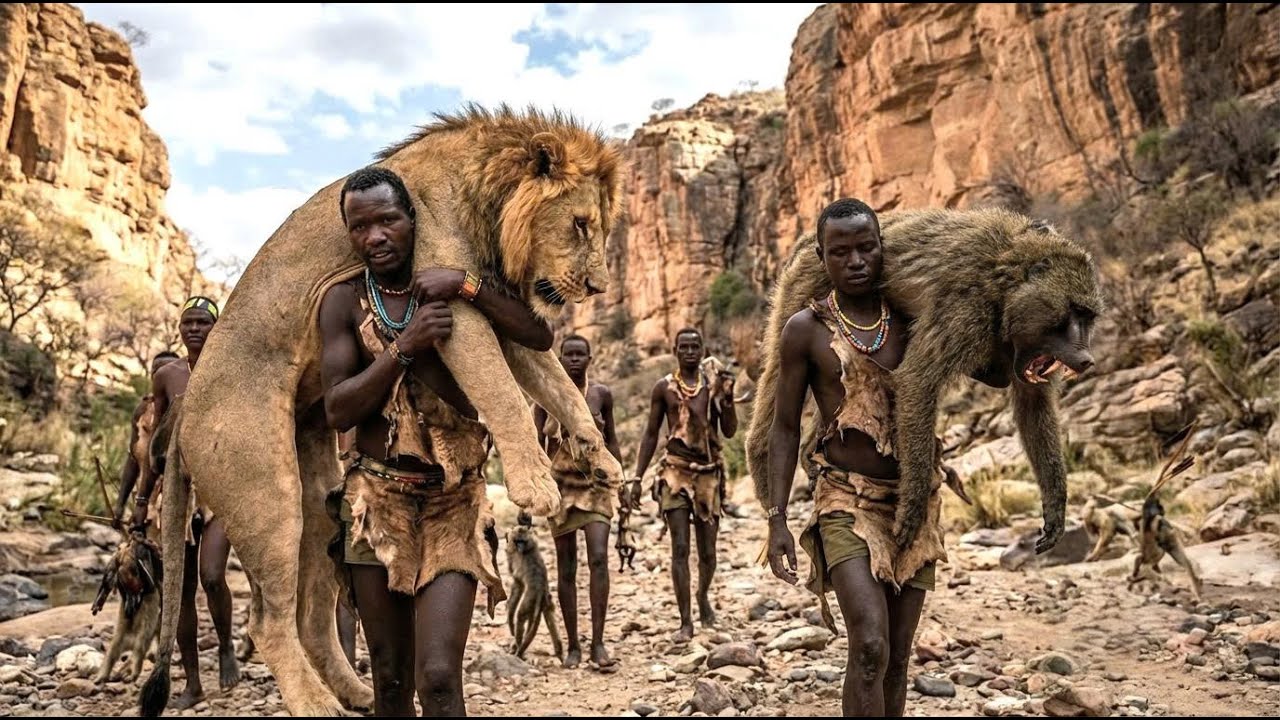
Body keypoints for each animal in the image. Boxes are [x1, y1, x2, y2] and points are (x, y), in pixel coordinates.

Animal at [140, 106, 626, 716]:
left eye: (599, 227)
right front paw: (537, 487)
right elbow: (506, 395)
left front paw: (602, 460)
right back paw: (317, 704)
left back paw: (353, 691)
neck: (483, 191)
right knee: (269, 620)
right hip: (266, 495)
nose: (597, 286)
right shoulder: (454, 303)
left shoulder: (498, 306)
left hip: (320, 502)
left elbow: (559, 386)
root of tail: (183, 410)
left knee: (312, 618)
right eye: (580, 224)